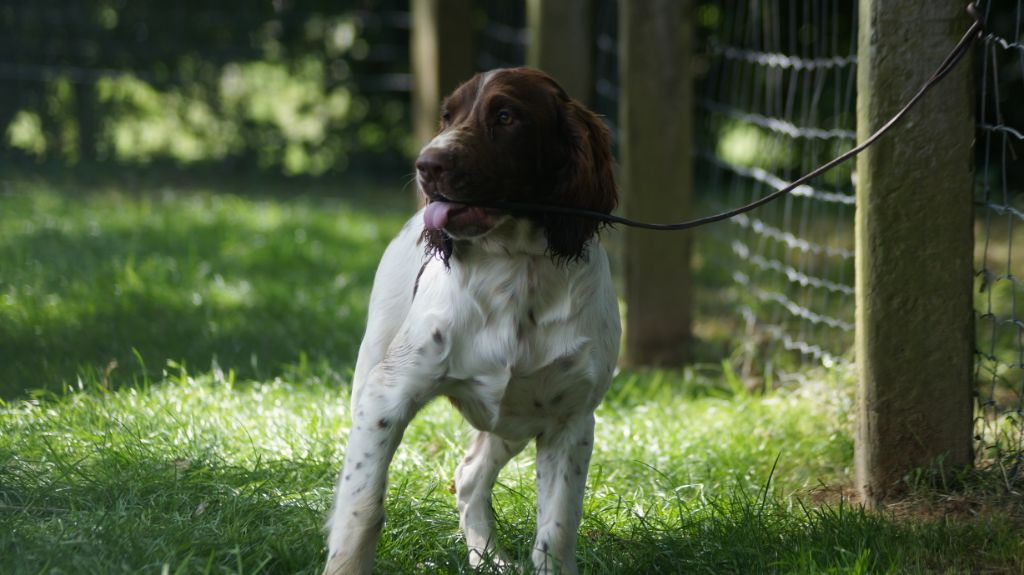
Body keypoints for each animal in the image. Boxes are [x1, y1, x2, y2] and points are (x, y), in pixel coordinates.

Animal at [323, 68, 618, 572]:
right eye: (447, 116)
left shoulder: (571, 418)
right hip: (372, 372)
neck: (517, 268)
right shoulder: (386, 399)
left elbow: (557, 529)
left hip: (516, 419)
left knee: (470, 475)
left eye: (506, 116)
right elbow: (362, 506)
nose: (426, 165)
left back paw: (489, 558)